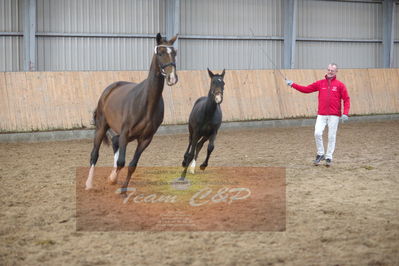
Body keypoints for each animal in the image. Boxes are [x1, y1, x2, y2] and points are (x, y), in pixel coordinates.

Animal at [86, 33, 179, 195]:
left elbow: (132, 165)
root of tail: (109, 90)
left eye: (174, 53)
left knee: (114, 142)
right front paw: (113, 179)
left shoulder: (145, 139)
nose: (172, 78)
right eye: (160, 53)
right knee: (94, 155)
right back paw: (89, 183)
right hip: (102, 127)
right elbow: (121, 162)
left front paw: (123, 189)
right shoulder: (125, 133)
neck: (146, 103)